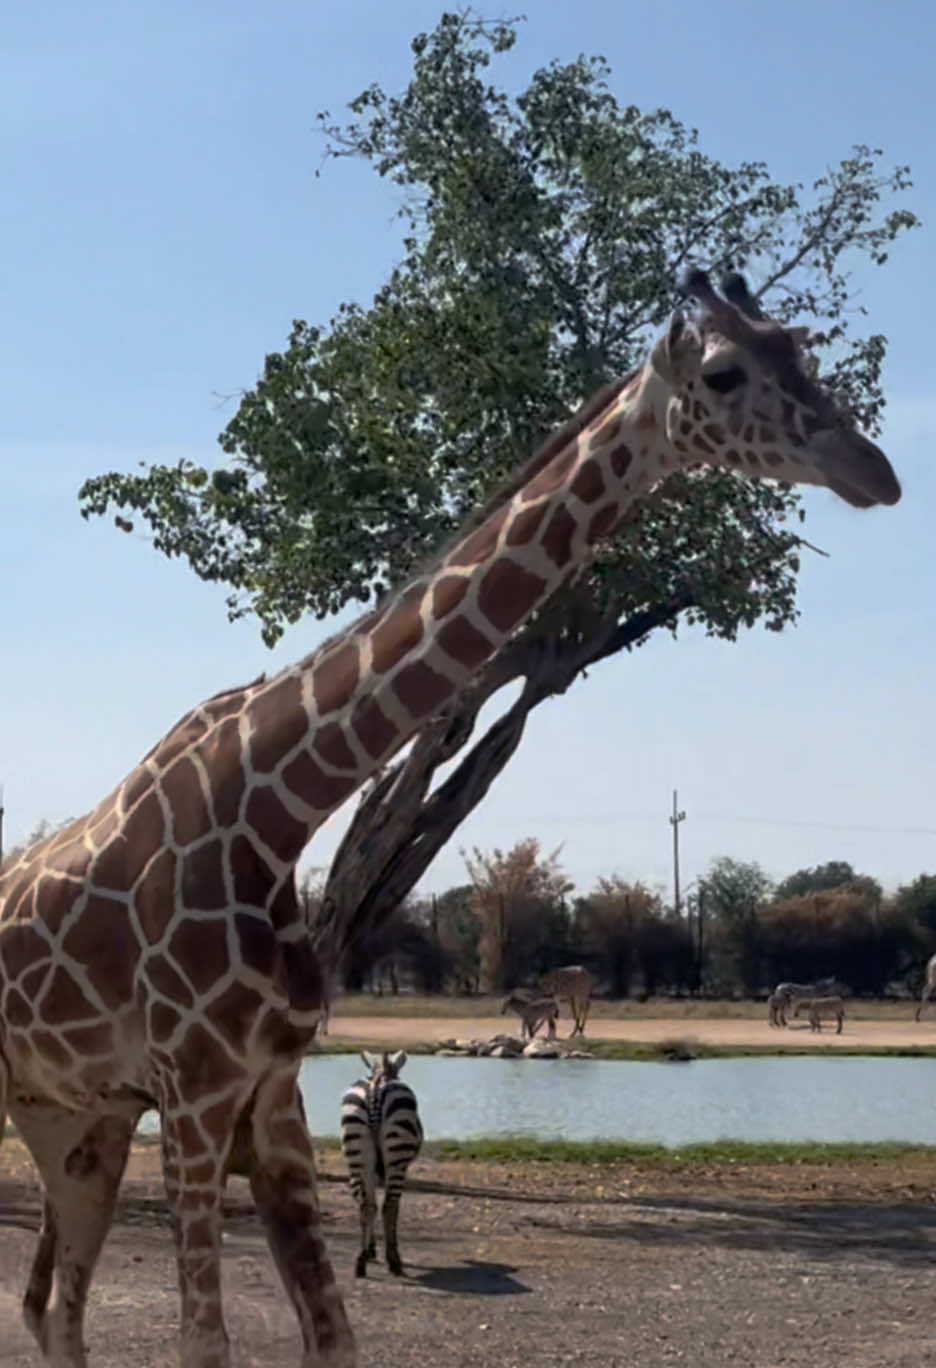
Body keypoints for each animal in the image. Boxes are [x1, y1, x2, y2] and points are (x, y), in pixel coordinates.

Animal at [338, 1045, 421, 1280]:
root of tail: (376, 1085)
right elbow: (392, 1208)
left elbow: (369, 1202)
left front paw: (370, 1250)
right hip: (397, 1156)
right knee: (389, 1206)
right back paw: (394, 1261)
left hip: (357, 1147)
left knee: (366, 1205)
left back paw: (360, 1262)